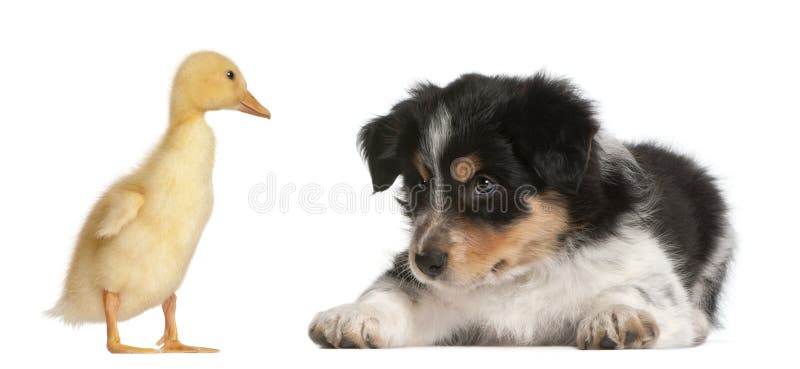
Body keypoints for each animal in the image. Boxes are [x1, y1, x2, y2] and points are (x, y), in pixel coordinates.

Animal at [310, 72, 736, 348]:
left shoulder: (648, 269)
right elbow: (396, 293)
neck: (525, 271)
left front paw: (617, 316)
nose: (426, 263)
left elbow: (636, 289)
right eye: (421, 184)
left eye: (484, 184)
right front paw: (352, 316)